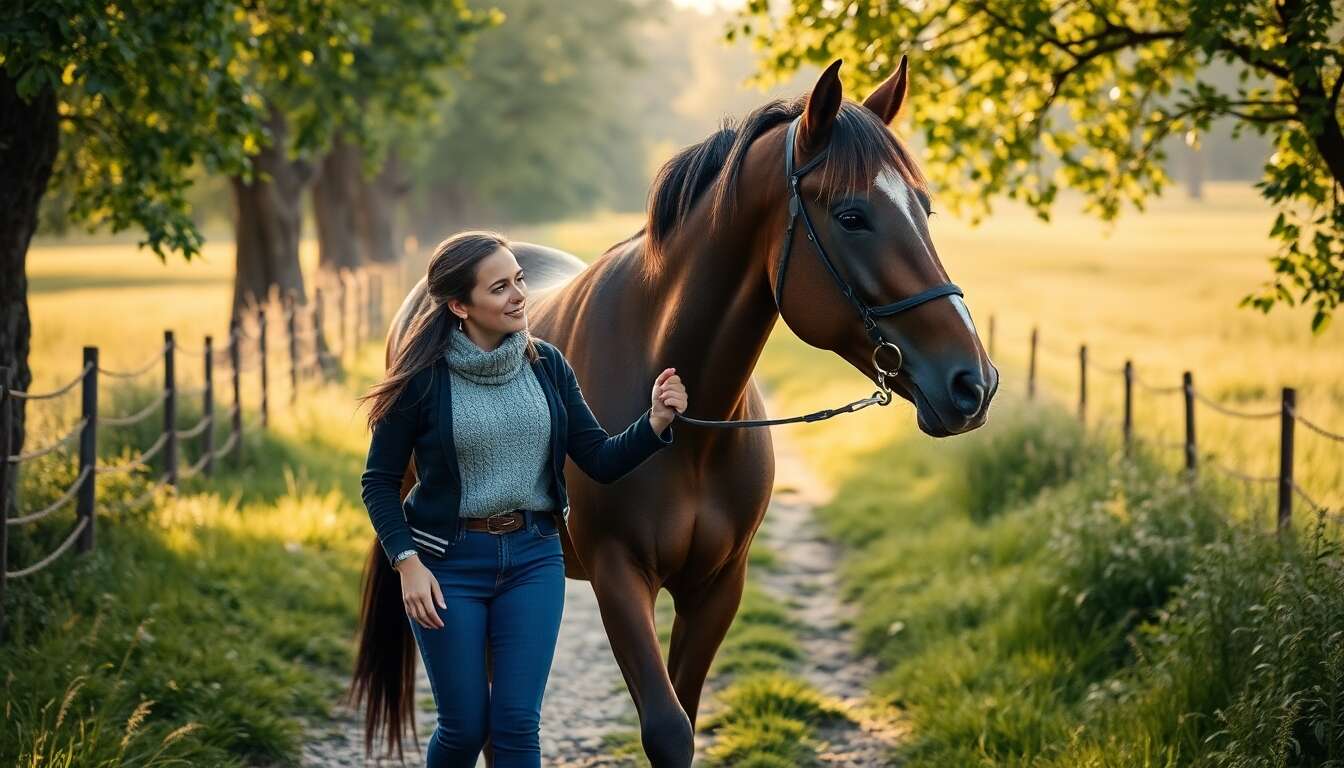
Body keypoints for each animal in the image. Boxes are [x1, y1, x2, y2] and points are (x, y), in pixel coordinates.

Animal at [350, 56, 997, 767]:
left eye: (924, 208)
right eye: (853, 216)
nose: (973, 382)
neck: (691, 432)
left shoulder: (717, 587)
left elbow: (684, 713)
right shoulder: (618, 575)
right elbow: (666, 728)